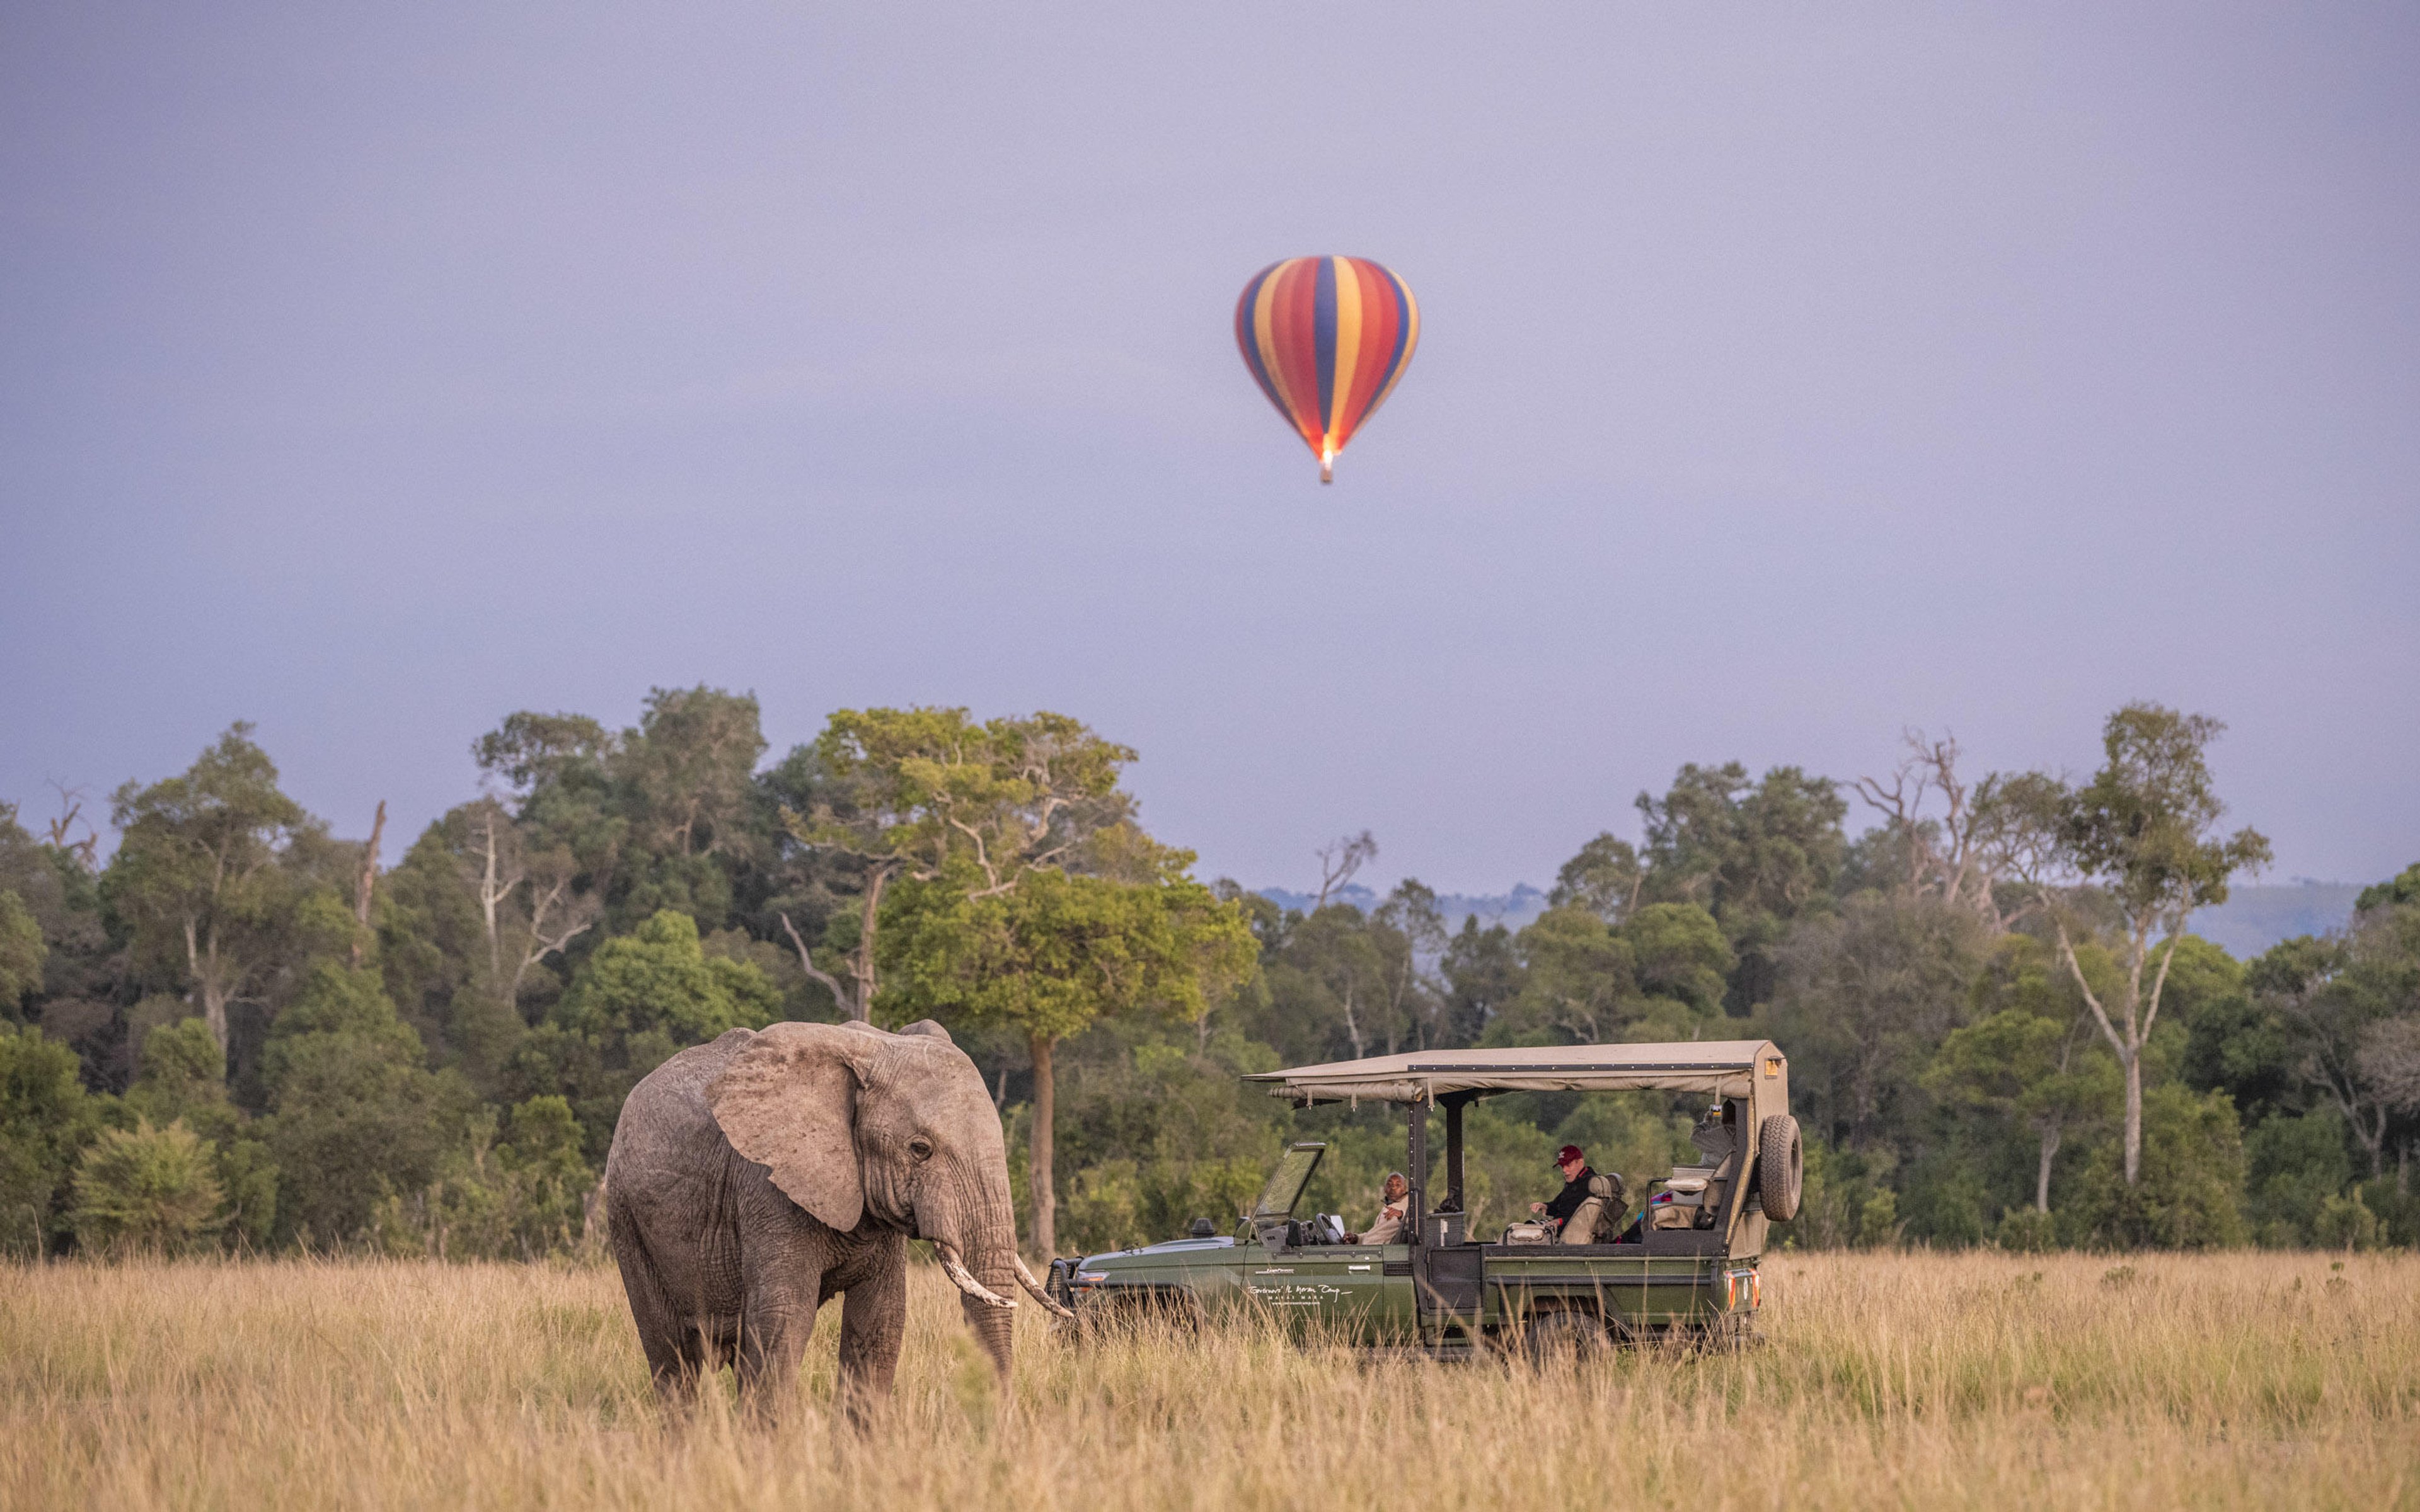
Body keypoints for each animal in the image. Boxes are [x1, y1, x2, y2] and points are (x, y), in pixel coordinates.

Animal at [600, 1016, 1064, 1412]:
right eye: (920, 1149)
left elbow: (881, 1322)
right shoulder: (767, 1189)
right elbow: (784, 1322)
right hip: (626, 1218)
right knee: (672, 1358)